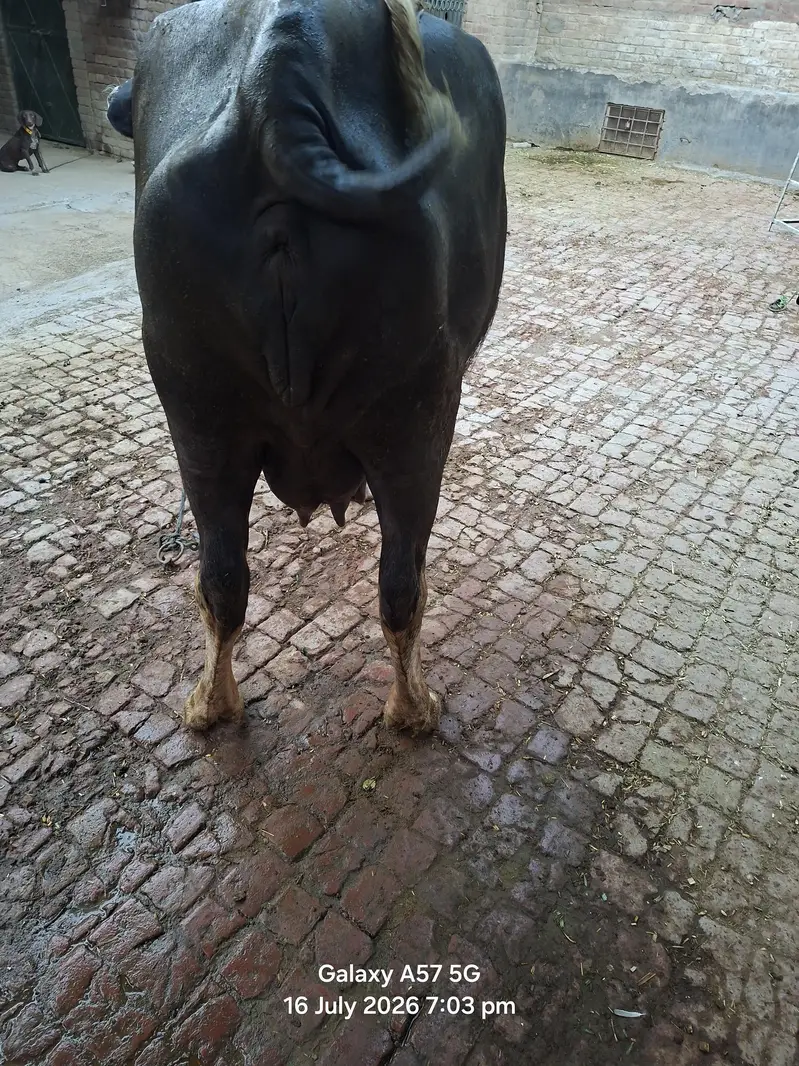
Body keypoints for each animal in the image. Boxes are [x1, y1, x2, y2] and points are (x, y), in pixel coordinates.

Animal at [106, 0, 506, 735]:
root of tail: (274, 76)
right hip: (418, 411)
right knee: (402, 581)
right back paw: (413, 710)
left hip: (196, 409)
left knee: (222, 576)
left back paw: (210, 706)